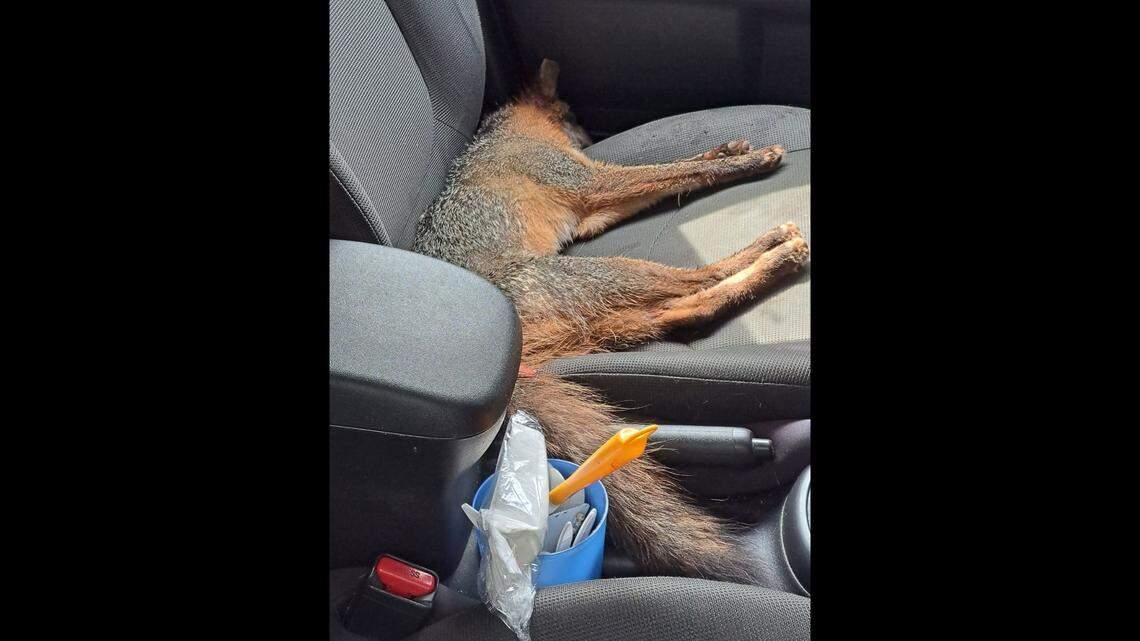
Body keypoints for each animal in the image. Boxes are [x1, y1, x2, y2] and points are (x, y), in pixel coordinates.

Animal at [412, 59, 809, 584]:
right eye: (573, 115)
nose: (591, 136)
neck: (509, 130)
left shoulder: (593, 209)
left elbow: (679, 168)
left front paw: (728, 149)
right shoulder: (593, 184)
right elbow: (681, 170)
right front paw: (751, 161)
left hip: (618, 313)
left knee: (685, 311)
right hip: (622, 273)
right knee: (700, 283)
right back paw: (776, 251)